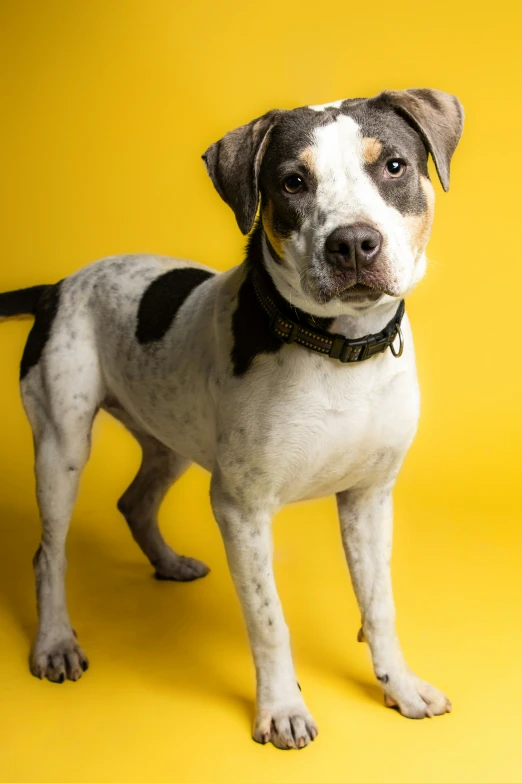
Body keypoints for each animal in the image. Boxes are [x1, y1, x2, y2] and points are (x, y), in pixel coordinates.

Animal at [2, 89, 462, 752]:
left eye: (394, 166)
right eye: (293, 182)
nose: (353, 243)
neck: (339, 351)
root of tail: (57, 286)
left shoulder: (370, 498)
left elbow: (379, 605)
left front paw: (399, 686)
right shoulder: (242, 508)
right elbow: (268, 619)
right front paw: (282, 709)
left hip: (167, 438)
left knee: (134, 502)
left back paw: (168, 564)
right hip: (60, 448)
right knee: (48, 554)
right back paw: (55, 643)